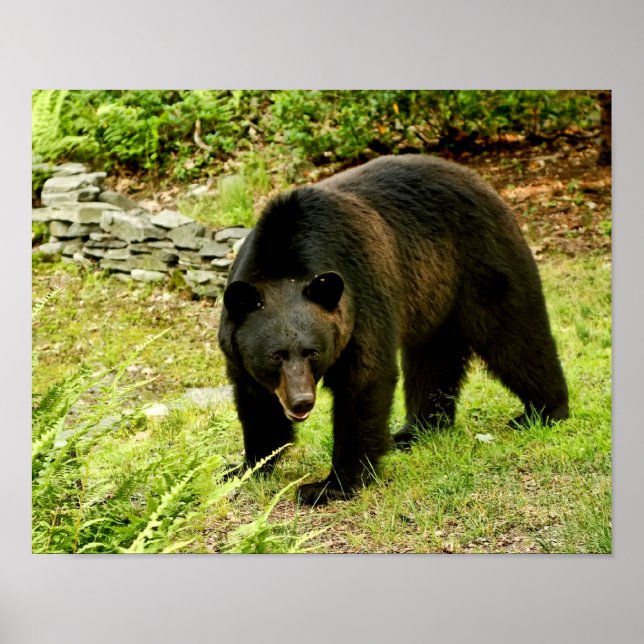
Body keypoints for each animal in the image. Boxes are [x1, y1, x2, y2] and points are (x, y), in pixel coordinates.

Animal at [217, 155, 568, 505]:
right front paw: (242, 469)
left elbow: (364, 380)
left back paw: (544, 411)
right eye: (275, 355)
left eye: (312, 351)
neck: (286, 259)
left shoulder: (361, 295)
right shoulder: (239, 345)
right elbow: (256, 403)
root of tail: (480, 180)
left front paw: (330, 485)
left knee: (513, 335)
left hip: (481, 263)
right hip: (433, 297)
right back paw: (416, 430)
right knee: (433, 358)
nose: (301, 401)